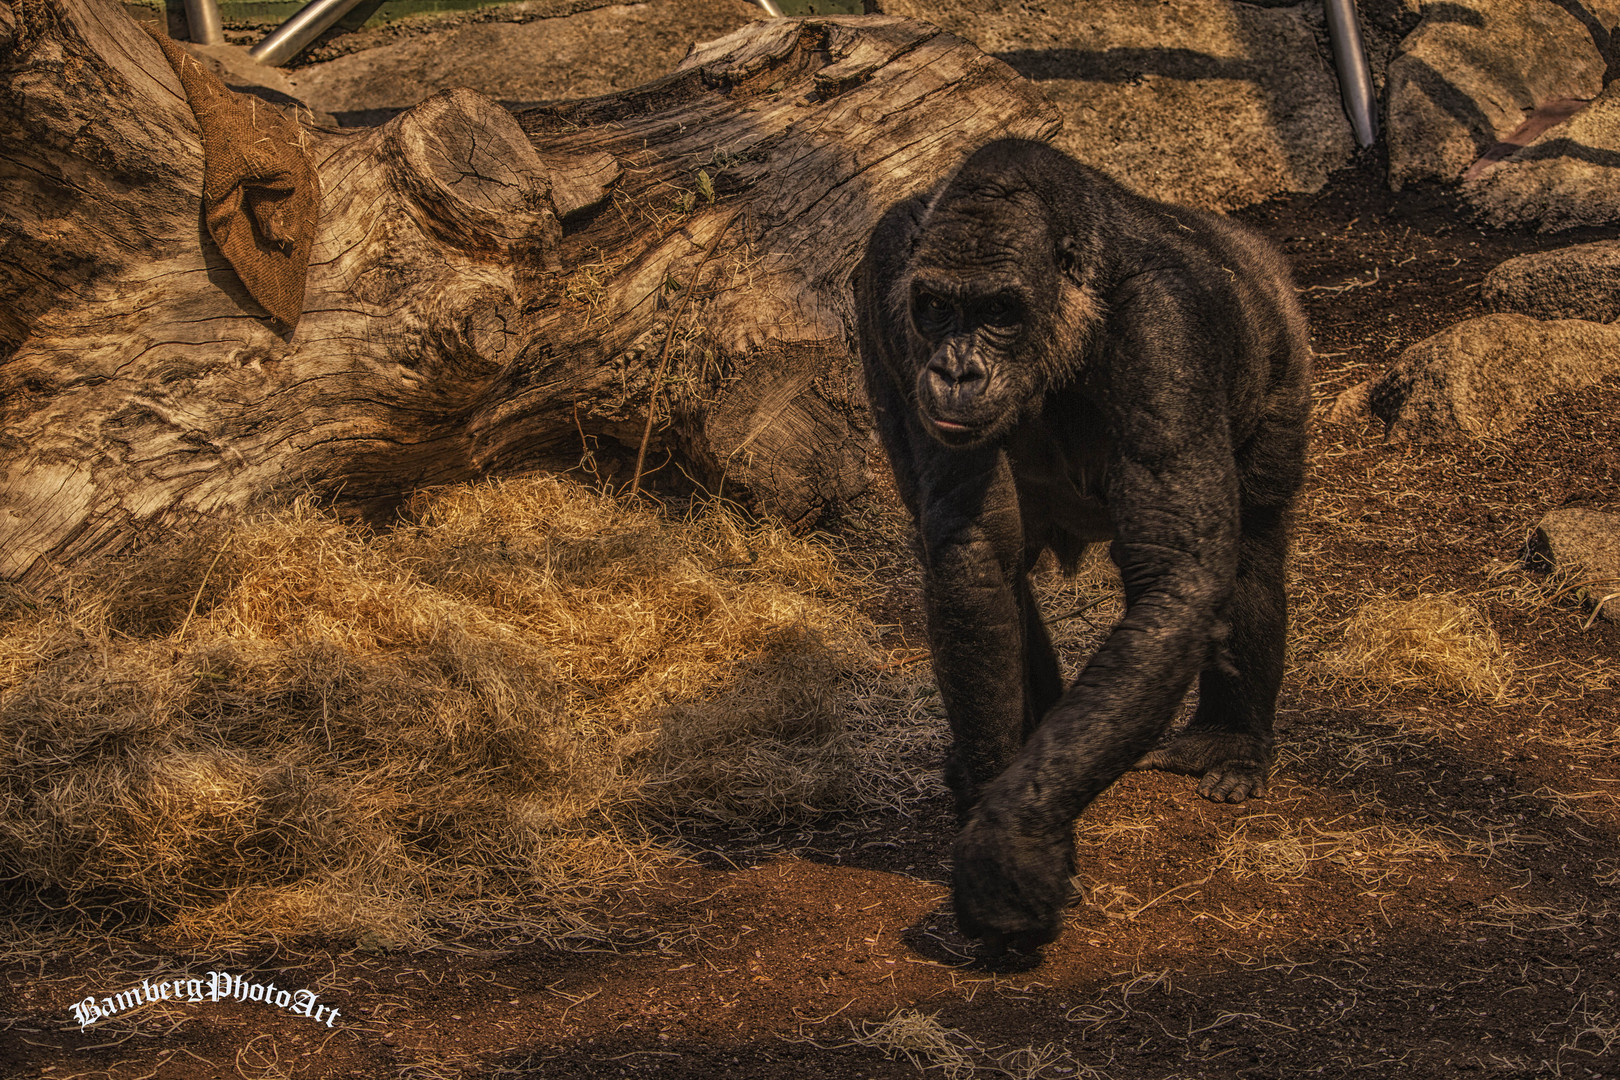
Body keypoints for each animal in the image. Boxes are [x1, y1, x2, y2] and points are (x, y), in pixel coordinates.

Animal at [855, 137, 1308, 952]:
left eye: (998, 310)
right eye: (936, 308)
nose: (956, 368)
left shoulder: (1166, 329)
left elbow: (1177, 570)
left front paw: (1013, 837)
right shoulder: (885, 285)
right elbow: (974, 549)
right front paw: (1001, 800)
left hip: (1282, 347)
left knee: (1252, 549)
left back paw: (1229, 738)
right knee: (1005, 570)